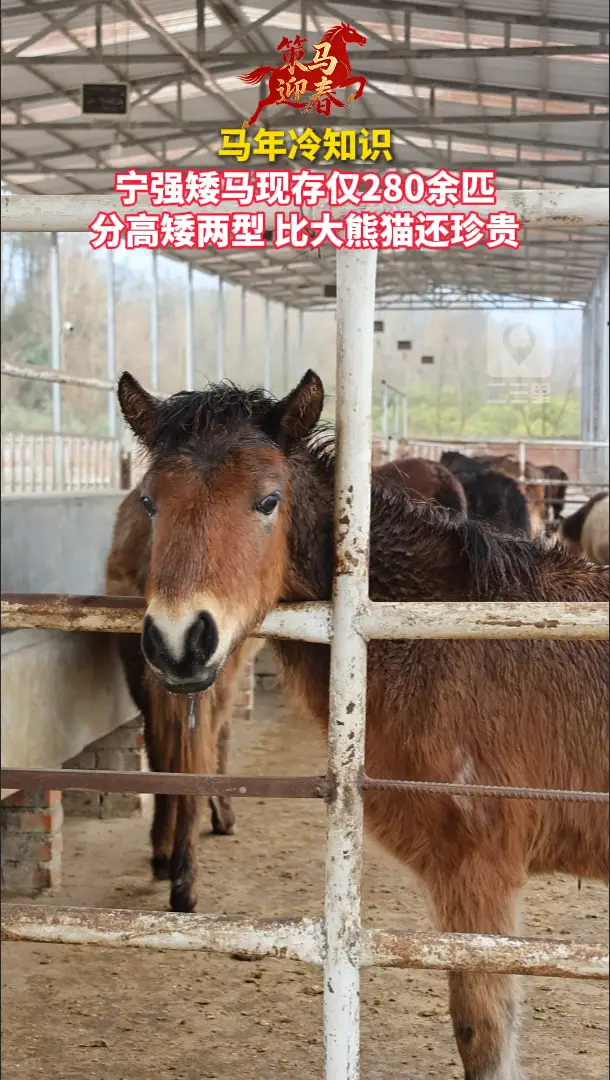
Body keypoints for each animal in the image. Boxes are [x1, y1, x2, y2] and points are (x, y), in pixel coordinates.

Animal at [105, 480, 260, 913]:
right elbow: (219, 742)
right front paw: (223, 816)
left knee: (162, 753)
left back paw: (162, 855)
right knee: (195, 753)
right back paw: (184, 880)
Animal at [238, 23, 367, 129]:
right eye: (351, 32)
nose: (364, 39)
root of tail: (275, 70)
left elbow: (361, 79)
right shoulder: (338, 83)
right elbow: (361, 79)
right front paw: (352, 97)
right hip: (278, 93)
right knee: (265, 102)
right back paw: (249, 122)